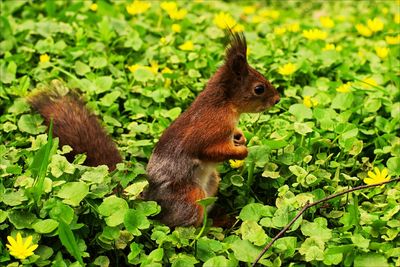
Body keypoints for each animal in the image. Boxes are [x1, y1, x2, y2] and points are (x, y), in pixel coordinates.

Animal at [28, 30, 278, 228]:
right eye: (259, 88)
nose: (277, 99)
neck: (224, 104)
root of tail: (148, 201)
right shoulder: (208, 130)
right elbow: (209, 150)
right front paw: (241, 151)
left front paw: (240, 138)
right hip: (189, 197)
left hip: (211, 182)